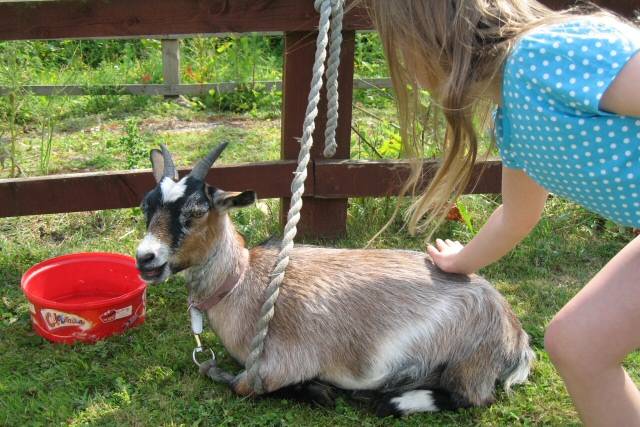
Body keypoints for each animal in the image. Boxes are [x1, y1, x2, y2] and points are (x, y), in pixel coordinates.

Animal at [135, 144, 536, 418]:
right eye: (146, 205)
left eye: (196, 211)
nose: (146, 258)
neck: (244, 281)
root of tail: (516, 335)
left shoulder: (275, 365)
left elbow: (238, 385)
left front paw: (318, 391)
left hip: (469, 361)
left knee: (471, 398)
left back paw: (383, 399)